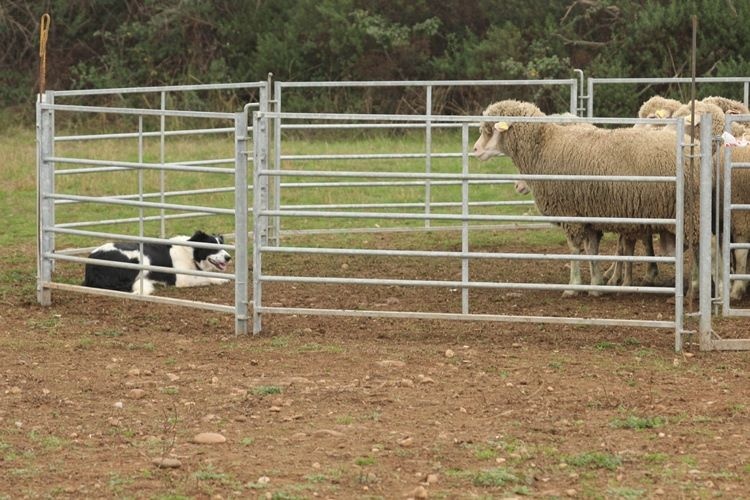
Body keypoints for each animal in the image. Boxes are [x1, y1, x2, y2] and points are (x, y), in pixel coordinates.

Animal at [82, 231, 232, 296]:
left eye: (222, 244)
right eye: (212, 247)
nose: (228, 257)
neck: (191, 252)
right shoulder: (182, 279)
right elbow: (205, 277)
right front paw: (220, 280)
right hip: (138, 259)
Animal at [472, 101, 704, 296]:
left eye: (489, 130)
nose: (474, 150)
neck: (544, 145)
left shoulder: (569, 211)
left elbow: (575, 249)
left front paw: (573, 286)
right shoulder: (589, 213)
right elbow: (592, 249)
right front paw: (596, 285)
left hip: (690, 209)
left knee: (699, 246)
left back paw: (695, 287)